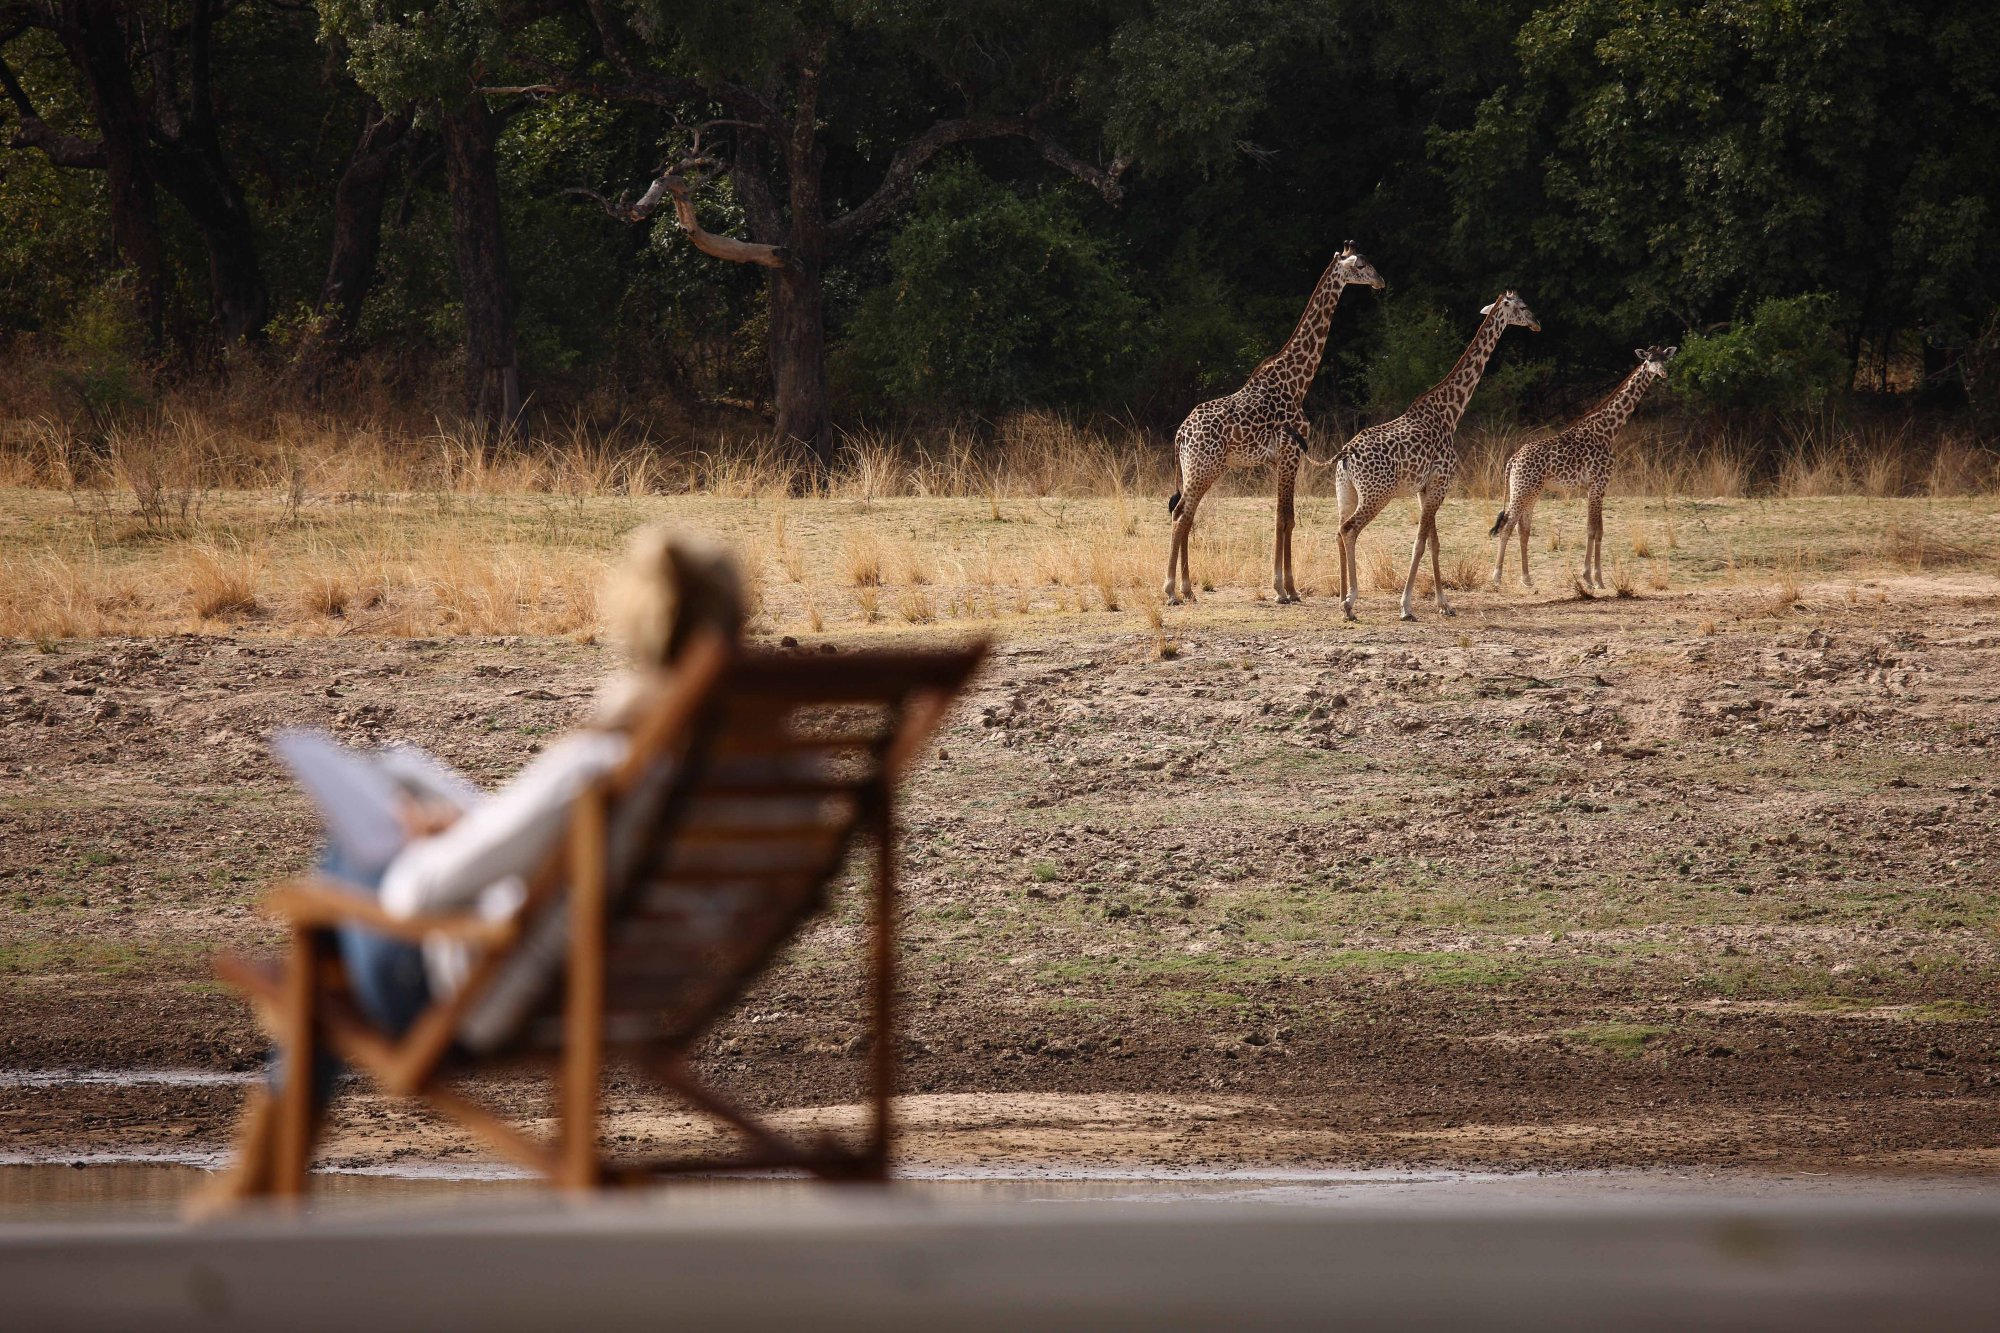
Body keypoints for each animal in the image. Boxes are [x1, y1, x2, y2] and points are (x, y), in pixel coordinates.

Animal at [1162, 244, 1385, 605]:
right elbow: (1287, 518)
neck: (1298, 382)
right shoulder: (1291, 454)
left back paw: (1187, 588)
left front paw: (1283, 587)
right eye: (1362, 265)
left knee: (1185, 513)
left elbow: (1281, 517)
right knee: (1182, 513)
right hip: (1204, 467)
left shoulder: (1278, 459)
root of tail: (1180, 435)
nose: (1380, 281)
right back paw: (1170, 590)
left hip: (1196, 469)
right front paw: (1287, 589)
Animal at [1328, 291, 1539, 622]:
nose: (1536, 323)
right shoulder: (1441, 483)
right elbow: (1419, 543)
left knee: (1338, 530)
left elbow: (1434, 543)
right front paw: (1406, 606)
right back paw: (1350, 602)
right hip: (1377, 494)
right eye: (1522, 306)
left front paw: (1444, 604)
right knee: (1349, 529)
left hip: (1345, 491)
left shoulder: (1425, 488)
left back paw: (1341, 600)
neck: (1450, 413)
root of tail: (1346, 454)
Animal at [1490, 345, 1677, 591]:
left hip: (1528, 491)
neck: (1609, 430)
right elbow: (1592, 529)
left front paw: (1598, 579)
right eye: (1650, 360)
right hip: (1522, 490)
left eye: (1665, 359)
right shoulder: (1599, 483)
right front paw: (1590, 578)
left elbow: (1599, 530)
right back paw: (1496, 578)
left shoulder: (1596, 486)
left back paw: (1527, 579)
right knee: (1507, 526)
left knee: (1523, 528)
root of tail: (1512, 461)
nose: (1663, 373)